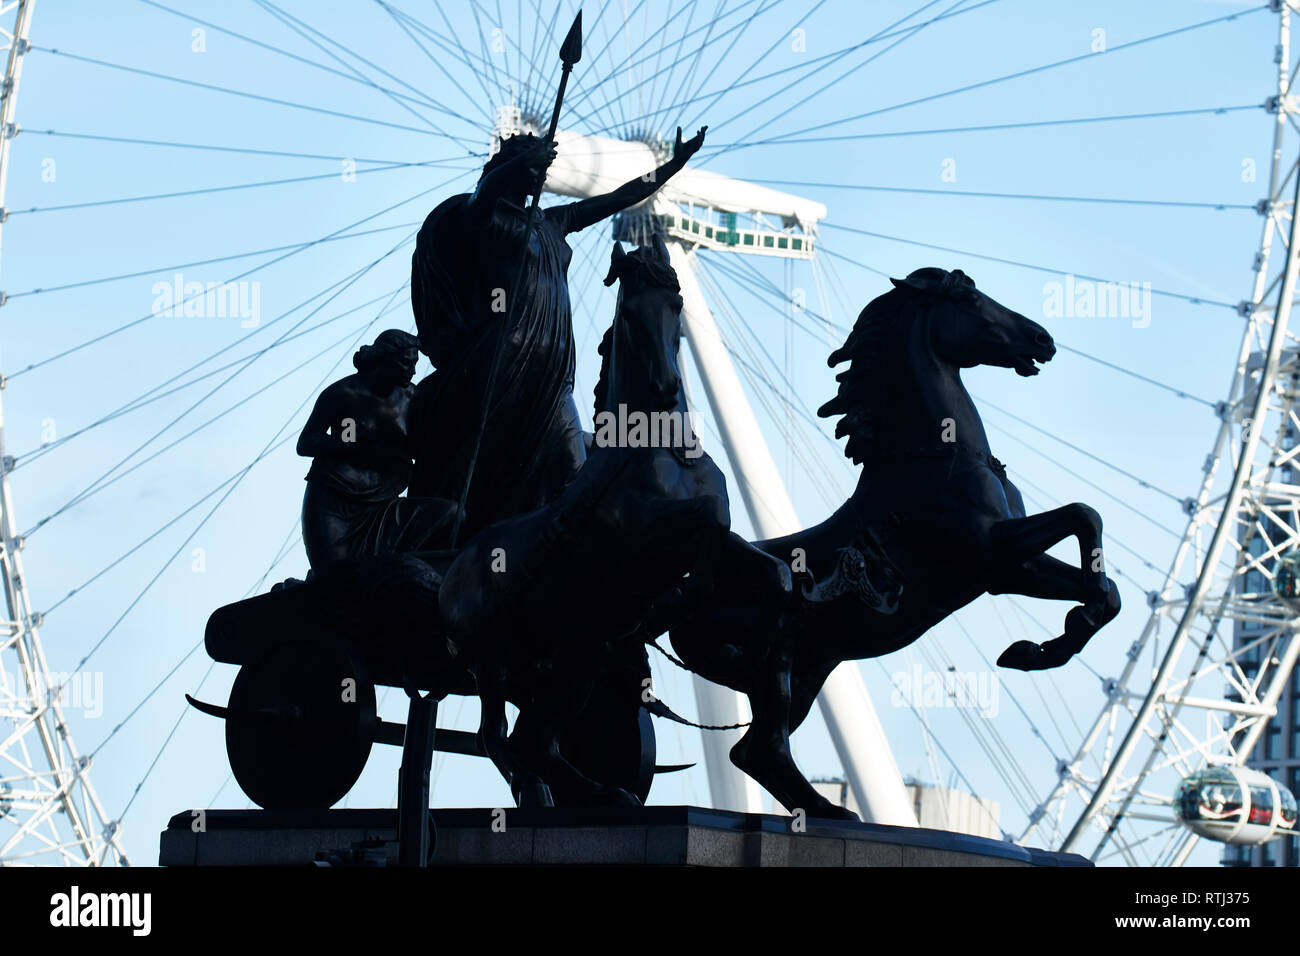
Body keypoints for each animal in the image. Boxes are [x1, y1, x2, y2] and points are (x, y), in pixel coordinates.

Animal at [665, 269, 1123, 822]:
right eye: (970, 299)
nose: (1042, 339)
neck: (935, 456)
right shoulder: (990, 553)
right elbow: (1083, 514)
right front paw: (1047, 642)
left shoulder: (1011, 570)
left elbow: (1104, 578)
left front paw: (1044, 647)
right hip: (777, 656)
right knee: (763, 747)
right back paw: (831, 812)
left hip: (814, 666)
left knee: (752, 752)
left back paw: (823, 809)